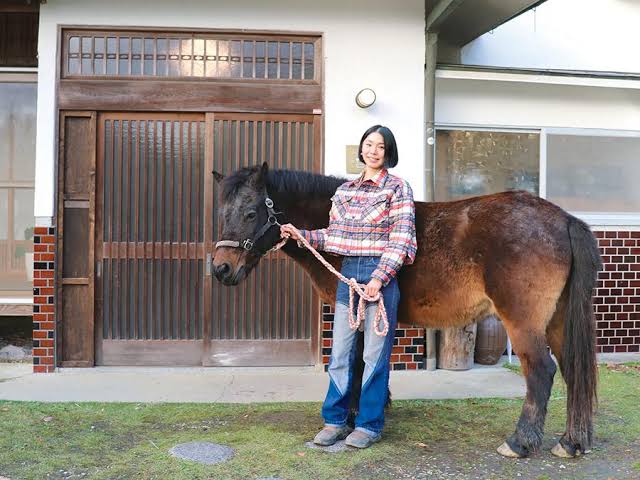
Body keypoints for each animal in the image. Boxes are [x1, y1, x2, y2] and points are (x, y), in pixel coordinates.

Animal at [211, 162, 601, 459]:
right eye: (222, 214)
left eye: (250, 212)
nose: (221, 269)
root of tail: (563, 219)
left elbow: (358, 363)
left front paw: (354, 419)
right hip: (557, 321)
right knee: (571, 369)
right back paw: (572, 442)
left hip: (523, 323)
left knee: (542, 372)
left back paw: (519, 443)